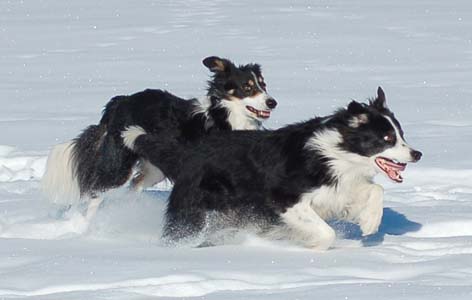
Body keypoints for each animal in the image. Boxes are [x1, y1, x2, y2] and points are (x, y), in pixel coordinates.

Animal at [41, 55, 276, 218]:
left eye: (263, 85)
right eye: (247, 87)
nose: (272, 102)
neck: (224, 118)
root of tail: (120, 102)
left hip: (154, 168)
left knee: (134, 185)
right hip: (120, 165)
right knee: (97, 190)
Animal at [121, 88, 420, 250]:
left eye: (401, 134)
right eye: (387, 138)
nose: (417, 154)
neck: (336, 153)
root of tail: (190, 152)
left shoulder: (339, 188)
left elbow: (375, 190)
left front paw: (370, 223)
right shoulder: (285, 199)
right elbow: (326, 231)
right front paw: (311, 246)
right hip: (193, 209)